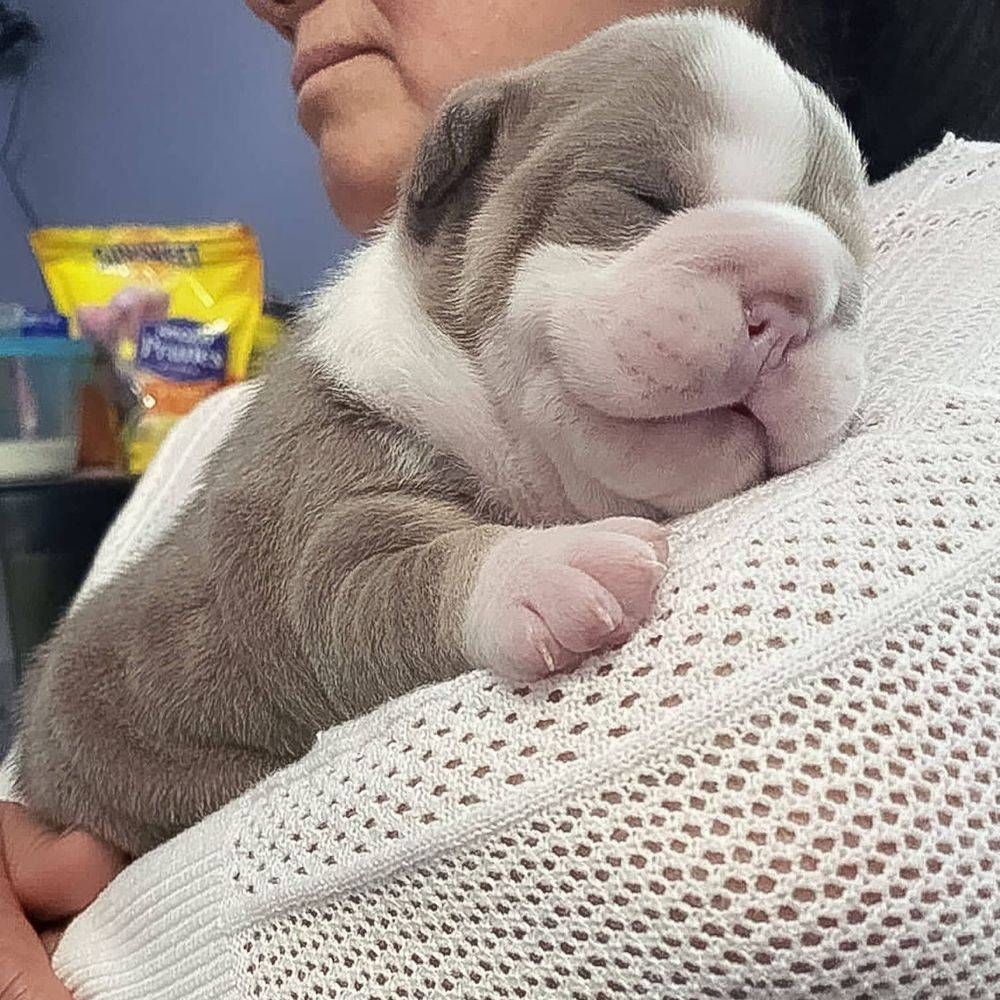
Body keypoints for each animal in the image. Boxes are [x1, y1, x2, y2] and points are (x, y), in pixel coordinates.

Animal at [19, 11, 872, 856]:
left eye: (851, 281)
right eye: (645, 197)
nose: (790, 300)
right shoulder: (317, 513)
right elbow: (385, 577)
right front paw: (543, 568)